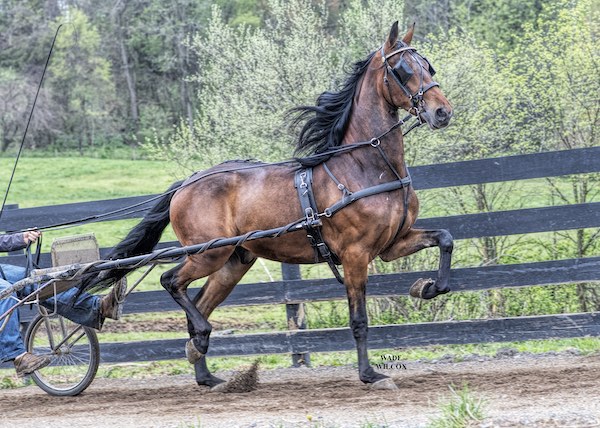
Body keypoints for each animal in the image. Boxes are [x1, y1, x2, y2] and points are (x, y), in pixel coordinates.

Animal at [85, 21, 453, 390]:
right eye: (403, 70)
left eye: (429, 67)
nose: (442, 112)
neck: (363, 166)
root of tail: (187, 183)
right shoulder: (355, 255)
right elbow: (359, 320)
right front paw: (369, 375)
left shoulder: (391, 245)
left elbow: (445, 238)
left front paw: (427, 287)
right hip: (208, 254)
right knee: (171, 281)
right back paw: (200, 342)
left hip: (233, 262)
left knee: (200, 302)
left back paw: (206, 373)